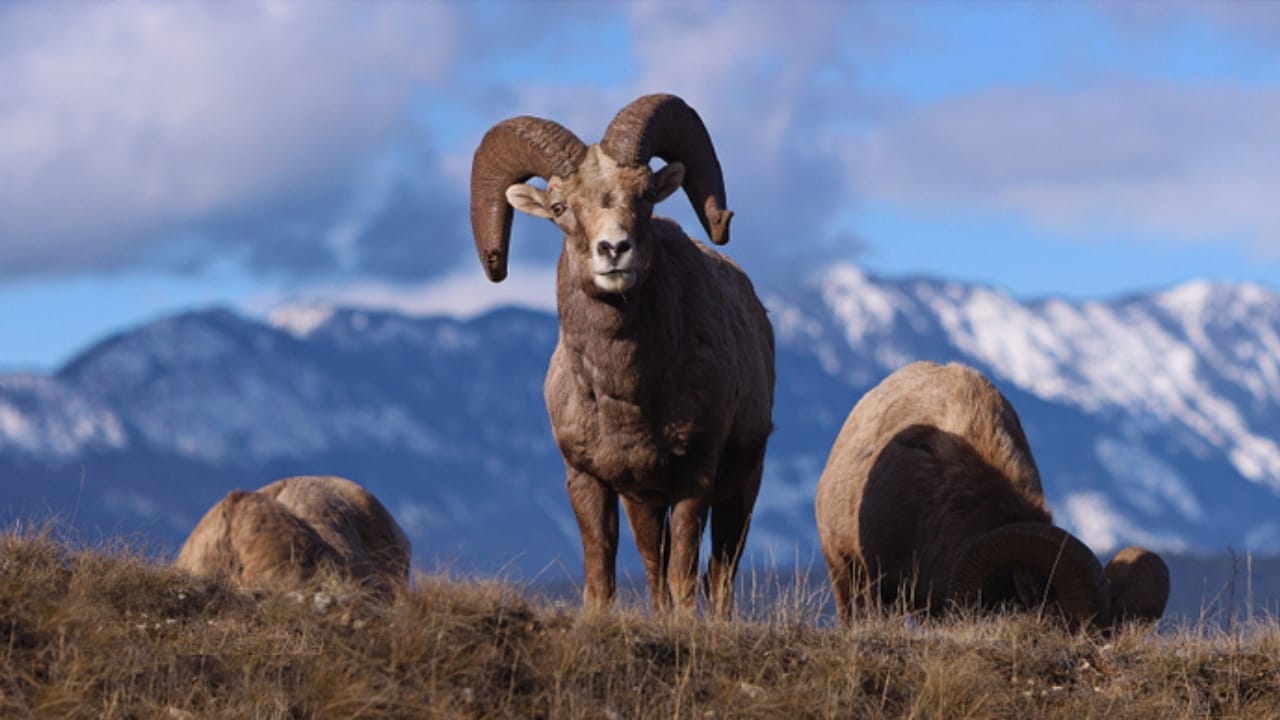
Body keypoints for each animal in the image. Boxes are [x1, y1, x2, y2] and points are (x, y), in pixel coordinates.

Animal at [469, 93, 775, 616]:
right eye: (559, 207)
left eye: (646, 195)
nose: (614, 249)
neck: (624, 394)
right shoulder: (589, 481)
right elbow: (603, 577)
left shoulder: (696, 474)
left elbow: (684, 574)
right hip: (646, 503)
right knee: (655, 565)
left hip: (741, 483)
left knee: (721, 570)